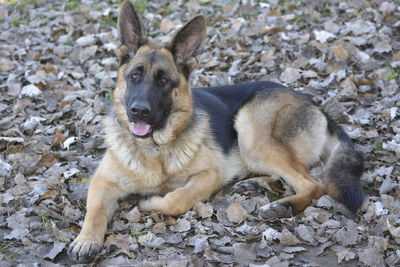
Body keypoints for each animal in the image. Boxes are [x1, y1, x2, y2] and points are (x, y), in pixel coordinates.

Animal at [69, 0, 366, 264]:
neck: (154, 150)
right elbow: (94, 212)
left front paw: (151, 202)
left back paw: (283, 206)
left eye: (164, 81)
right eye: (134, 76)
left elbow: (176, 199)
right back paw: (253, 183)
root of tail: (313, 103)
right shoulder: (102, 182)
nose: (139, 111)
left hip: (250, 130)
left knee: (313, 184)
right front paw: (86, 240)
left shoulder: (210, 174)